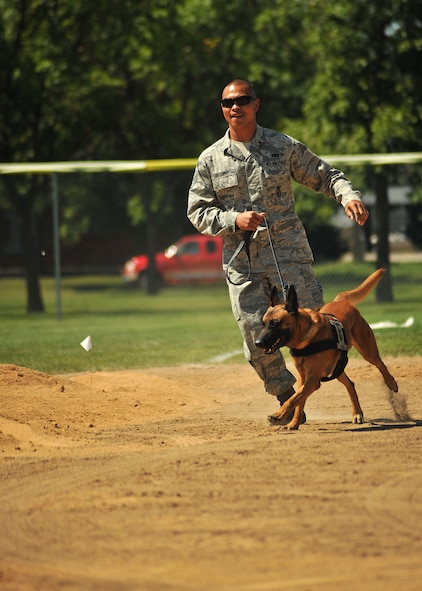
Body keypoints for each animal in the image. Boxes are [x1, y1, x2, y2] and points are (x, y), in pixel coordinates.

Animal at [254, 270, 398, 430]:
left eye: (275, 323)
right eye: (263, 323)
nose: (257, 343)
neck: (305, 338)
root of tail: (341, 300)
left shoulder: (313, 380)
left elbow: (293, 399)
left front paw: (278, 415)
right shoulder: (303, 378)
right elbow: (299, 401)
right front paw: (294, 423)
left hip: (367, 350)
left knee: (379, 363)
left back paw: (391, 383)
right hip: (336, 369)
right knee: (350, 384)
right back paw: (357, 414)